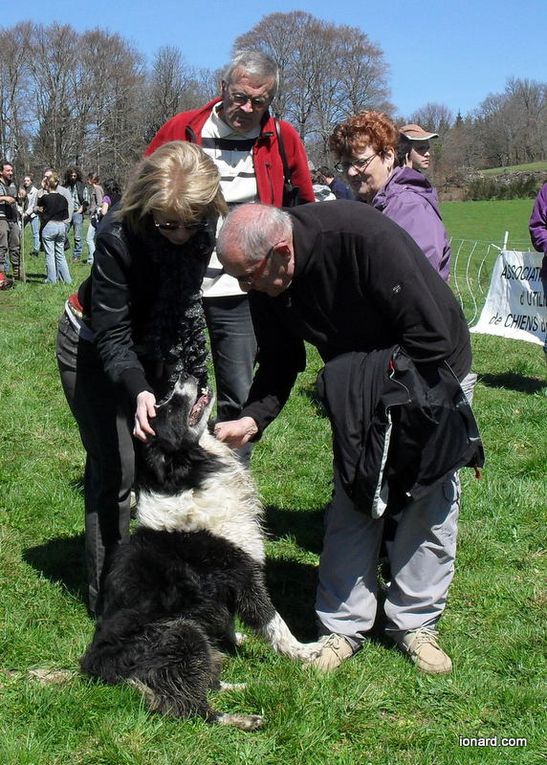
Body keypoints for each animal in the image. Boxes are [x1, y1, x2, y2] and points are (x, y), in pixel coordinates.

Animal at [81, 376, 322, 728]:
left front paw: (235, 640)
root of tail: (99, 670)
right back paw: (247, 718)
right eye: (166, 408)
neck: (188, 477)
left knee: (203, 682)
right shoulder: (240, 572)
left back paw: (248, 685)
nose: (183, 377)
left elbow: (227, 619)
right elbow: (271, 620)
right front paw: (305, 652)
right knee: (189, 708)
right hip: (182, 632)